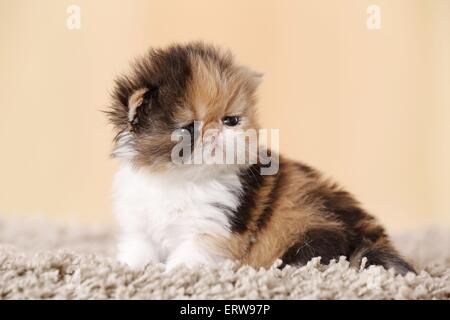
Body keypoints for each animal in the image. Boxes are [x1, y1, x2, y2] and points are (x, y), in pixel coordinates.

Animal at [107, 41, 416, 274]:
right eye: (188, 128)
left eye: (230, 120)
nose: (214, 133)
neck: (177, 180)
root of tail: (367, 233)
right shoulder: (140, 229)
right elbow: (136, 253)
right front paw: (124, 269)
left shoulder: (212, 229)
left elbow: (187, 261)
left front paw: (171, 274)